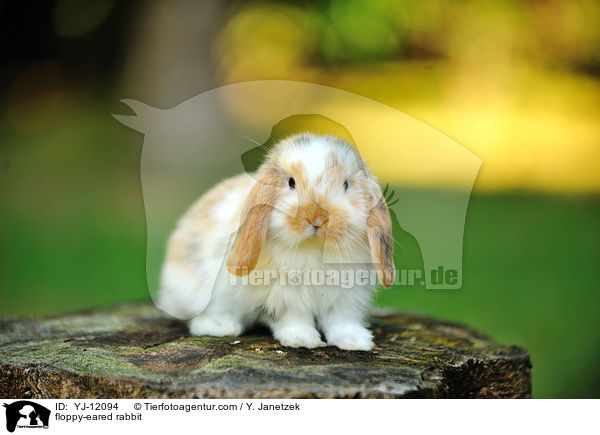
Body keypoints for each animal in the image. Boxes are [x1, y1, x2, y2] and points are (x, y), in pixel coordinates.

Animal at [157, 133, 396, 350]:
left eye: (346, 184)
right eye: (291, 182)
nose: (317, 218)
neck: (314, 248)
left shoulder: (346, 297)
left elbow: (341, 320)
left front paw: (356, 342)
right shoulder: (283, 296)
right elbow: (292, 317)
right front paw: (302, 340)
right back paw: (221, 327)